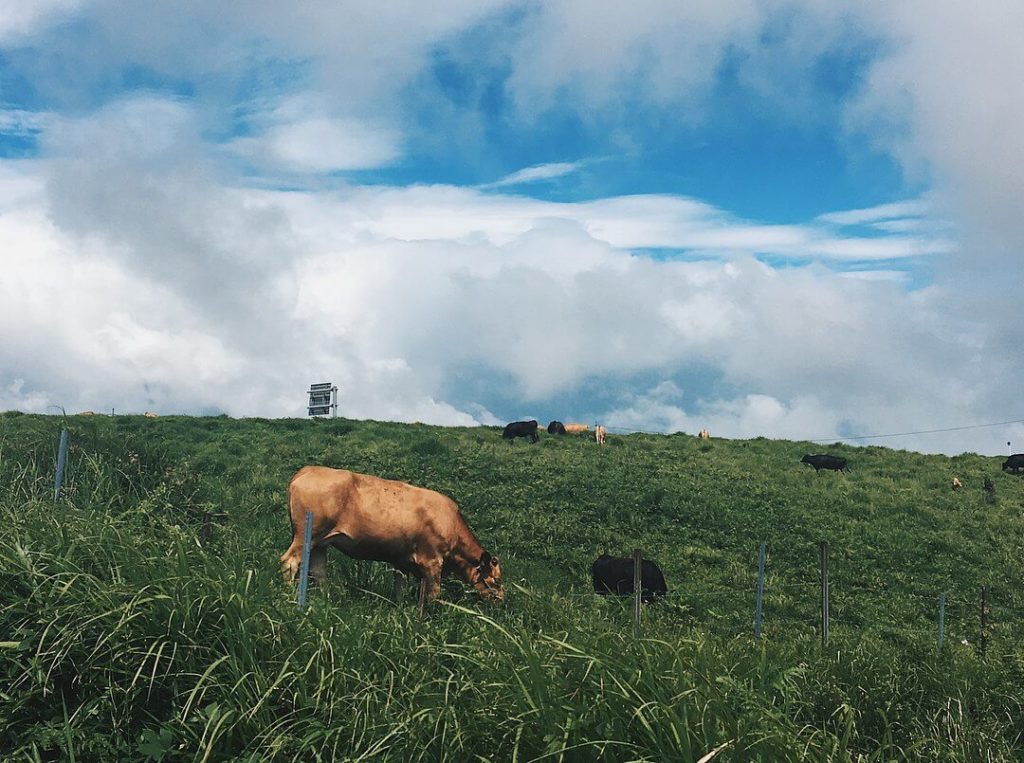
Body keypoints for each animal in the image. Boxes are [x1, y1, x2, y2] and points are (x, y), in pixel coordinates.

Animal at [280, 464, 503, 602]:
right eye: (497, 580)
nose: (502, 600)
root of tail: (309, 469)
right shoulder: (432, 561)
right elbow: (434, 594)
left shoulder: (401, 562)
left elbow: (400, 590)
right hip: (306, 535)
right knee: (289, 562)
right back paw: (288, 595)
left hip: (319, 542)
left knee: (318, 572)